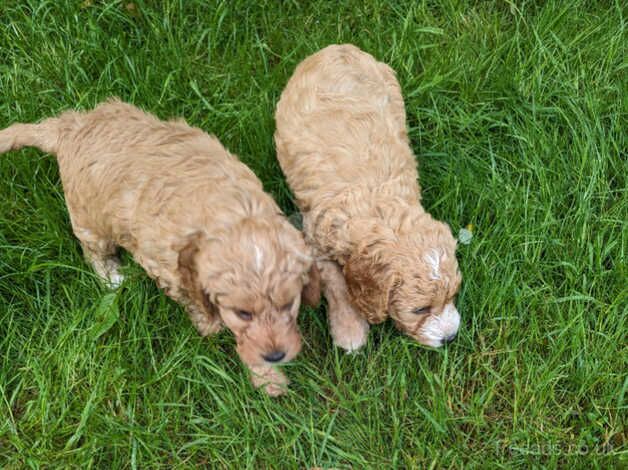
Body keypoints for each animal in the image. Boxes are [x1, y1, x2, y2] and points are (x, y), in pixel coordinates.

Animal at [274, 44, 462, 350]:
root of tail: (338, 48)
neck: (379, 207)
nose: (451, 337)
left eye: (452, 295)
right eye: (420, 309)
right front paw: (350, 331)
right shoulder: (316, 237)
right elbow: (337, 283)